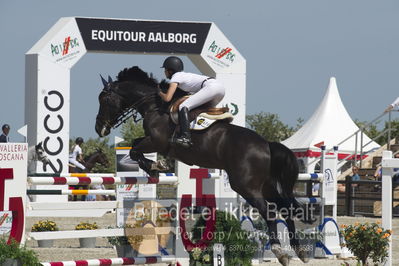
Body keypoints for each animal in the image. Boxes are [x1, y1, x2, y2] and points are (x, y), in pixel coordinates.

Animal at [94, 66, 310, 264]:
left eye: (103, 99)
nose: (99, 129)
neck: (155, 106)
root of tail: (266, 145)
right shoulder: (152, 141)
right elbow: (135, 146)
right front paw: (155, 166)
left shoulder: (157, 141)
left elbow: (134, 150)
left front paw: (156, 166)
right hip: (266, 185)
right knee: (286, 209)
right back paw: (299, 250)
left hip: (246, 186)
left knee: (270, 212)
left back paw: (280, 252)